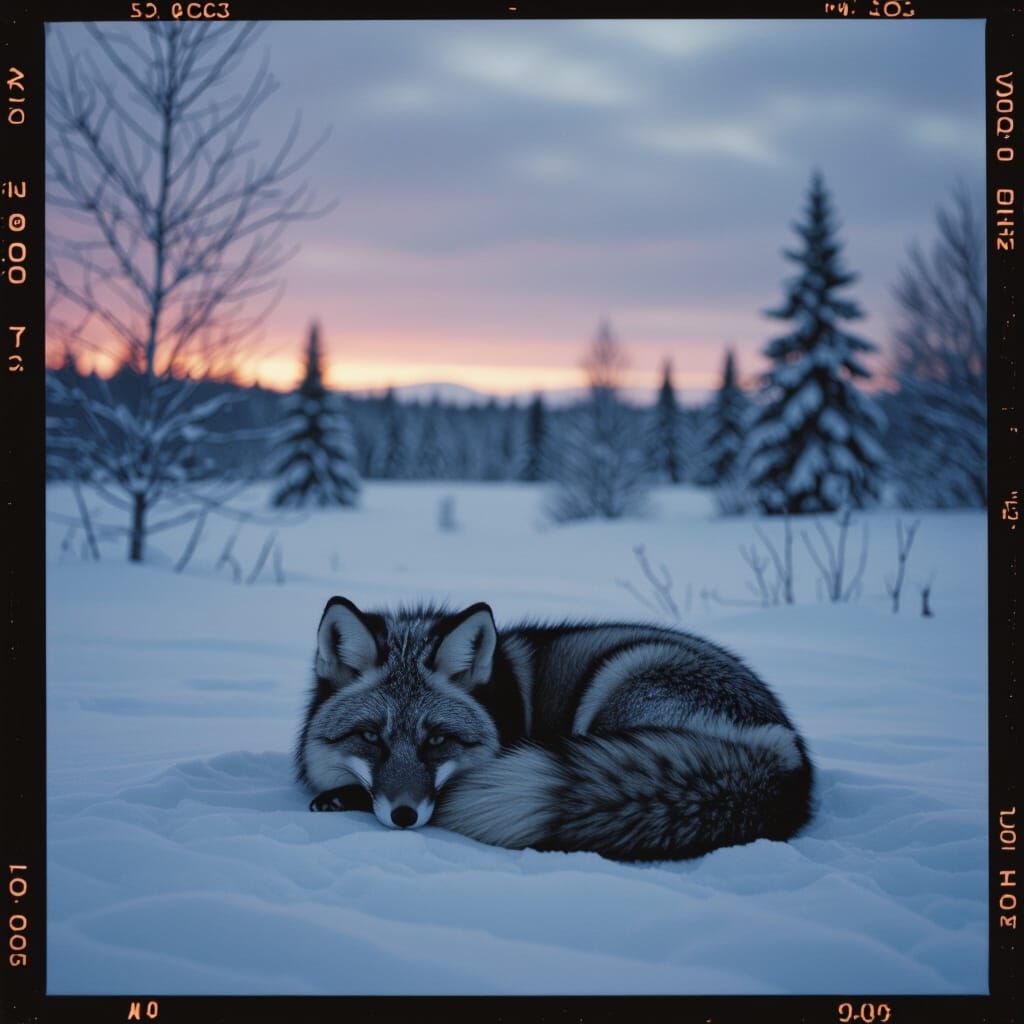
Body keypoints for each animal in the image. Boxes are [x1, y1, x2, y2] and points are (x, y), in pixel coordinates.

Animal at [297, 596, 814, 861]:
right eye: (371, 738)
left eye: (437, 740)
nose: (405, 816)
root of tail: (785, 746)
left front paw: (342, 798)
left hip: (619, 674)